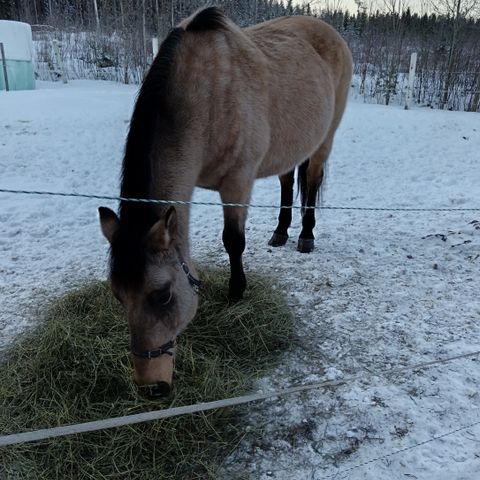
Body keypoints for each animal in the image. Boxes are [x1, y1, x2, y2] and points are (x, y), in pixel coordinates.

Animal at [98, 6, 352, 398]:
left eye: (162, 295)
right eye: (118, 295)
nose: (151, 387)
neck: (204, 99)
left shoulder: (237, 183)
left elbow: (233, 241)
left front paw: (236, 293)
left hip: (325, 139)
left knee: (310, 182)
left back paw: (305, 236)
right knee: (287, 180)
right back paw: (281, 233)